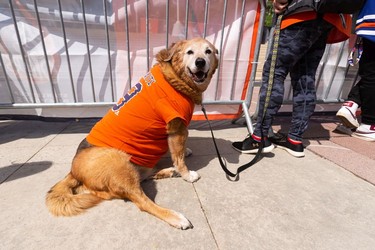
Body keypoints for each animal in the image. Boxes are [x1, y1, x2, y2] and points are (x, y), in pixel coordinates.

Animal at [45, 38, 219, 229]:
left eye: (208, 51)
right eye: (190, 52)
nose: (200, 62)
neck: (174, 78)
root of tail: (72, 171)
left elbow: (178, 151)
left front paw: (183, 156)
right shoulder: (177, 128)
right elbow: (179, 158)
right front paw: (186, 175)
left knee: (141, 178)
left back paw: (168, 172)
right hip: (118, 160)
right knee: (142, 201)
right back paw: (176, 217)